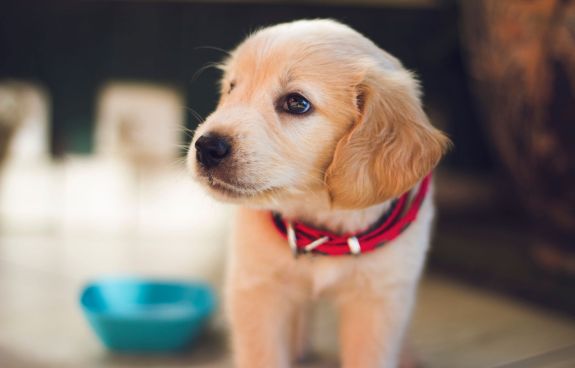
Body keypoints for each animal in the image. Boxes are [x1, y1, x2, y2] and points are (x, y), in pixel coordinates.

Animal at [188, 19, 450, 368]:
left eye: (297, 103)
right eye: (232, 88)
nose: (206, 147)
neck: (321, 223)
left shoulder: (379, 299)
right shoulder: (256, 288)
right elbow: (262, 354)